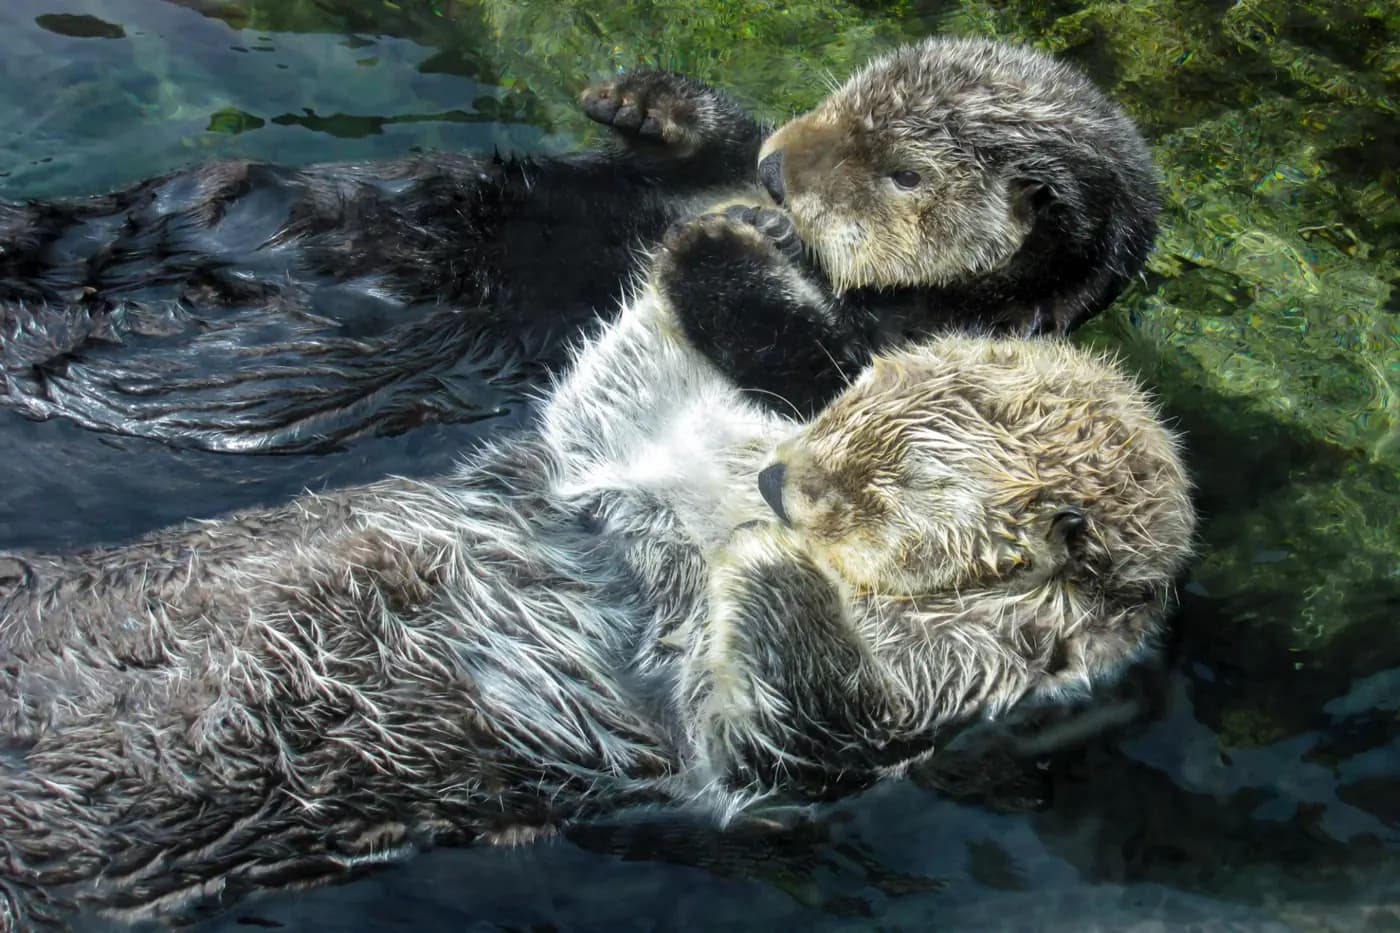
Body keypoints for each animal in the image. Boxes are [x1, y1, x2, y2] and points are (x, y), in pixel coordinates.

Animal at [0, 37, 1157, 455]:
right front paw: (639, 101)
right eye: (842, 97)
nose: (780, 178)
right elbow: (703, 138)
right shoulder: (701, 162)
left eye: (905, 174)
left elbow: (810, 372)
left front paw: (722, 240)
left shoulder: (927, 353)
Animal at [0, 208, 1194, 929]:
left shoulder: (958, 681)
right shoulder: (600, 473)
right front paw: (732, 242)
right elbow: (606, 403)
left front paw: (768, 558)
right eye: (850, 405)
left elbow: (797, 730)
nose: (776, 485)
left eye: (892, 483)